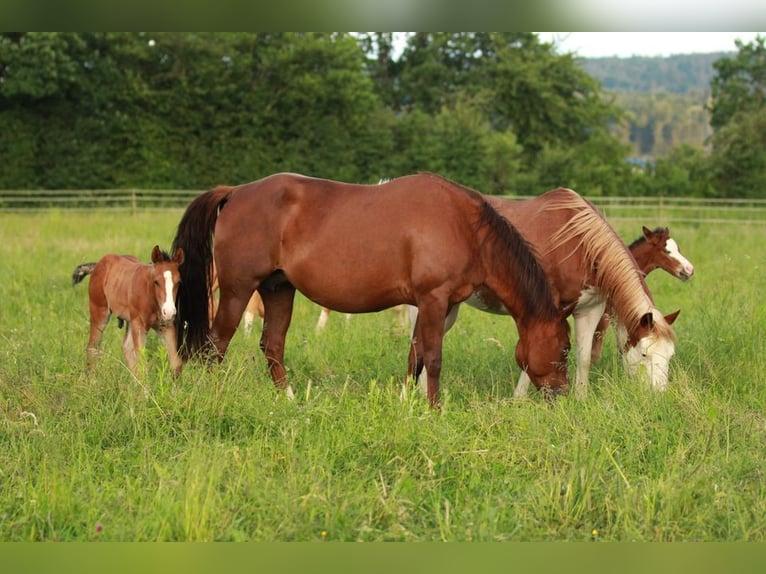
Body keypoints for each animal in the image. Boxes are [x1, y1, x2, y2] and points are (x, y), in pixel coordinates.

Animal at [72, 246, 186, 378]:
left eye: (179, 282)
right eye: (156, 281)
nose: (169, 311)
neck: (151, 297)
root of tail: (98, 264)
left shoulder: (166, 326)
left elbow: (176, 365)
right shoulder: (140, 326)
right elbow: (143, 366)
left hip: (131, 320)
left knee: (126, 348)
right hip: (99, 310)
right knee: (93, 346)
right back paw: (92, 379)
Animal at [171, 172, 572, 410]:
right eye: (564, 349)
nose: (562, 396)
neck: (464, 225)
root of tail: (236, 192)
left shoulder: (436, 305)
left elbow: (415, 357)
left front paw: (408, 403)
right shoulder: (433, 299)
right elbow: (433, 358)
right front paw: (435, 409)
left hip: (278, 288)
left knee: (272, 346)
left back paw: (288, 400)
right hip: (238, 291)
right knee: (215, 346)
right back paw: (213, 397)